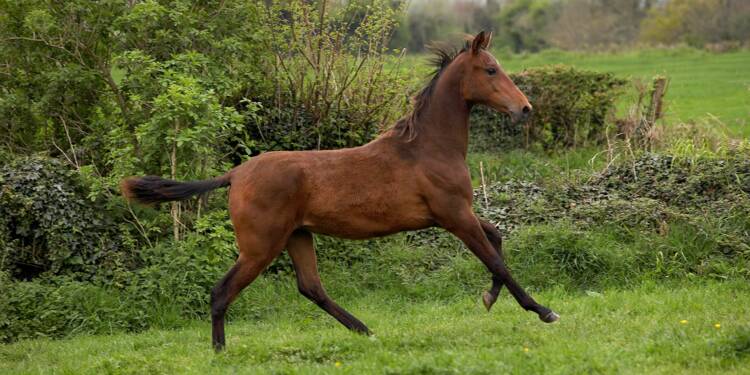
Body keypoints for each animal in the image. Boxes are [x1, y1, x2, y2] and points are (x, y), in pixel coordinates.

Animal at [122, 30, 560, 352]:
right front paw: (543, 311)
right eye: (490, 70)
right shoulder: (454, 215)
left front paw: (489, 298)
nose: (525, 109)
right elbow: (497, 260)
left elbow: (497, 238)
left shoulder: (454, 214)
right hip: (260, 246)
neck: (427, 147)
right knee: (222, 291)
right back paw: (220, 352)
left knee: (311, 287)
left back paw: (365, 330)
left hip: (297, 236)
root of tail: (236, 173)